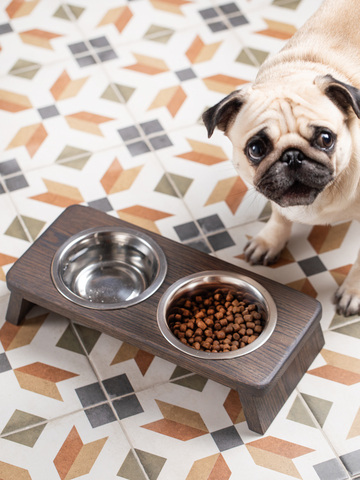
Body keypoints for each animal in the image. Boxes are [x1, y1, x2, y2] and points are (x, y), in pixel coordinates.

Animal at [202, 0, 360, 316]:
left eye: (326, 139)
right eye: (256, 149)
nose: (292, 157)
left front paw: (353, 292)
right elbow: (279, 213)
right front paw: (271, 240)